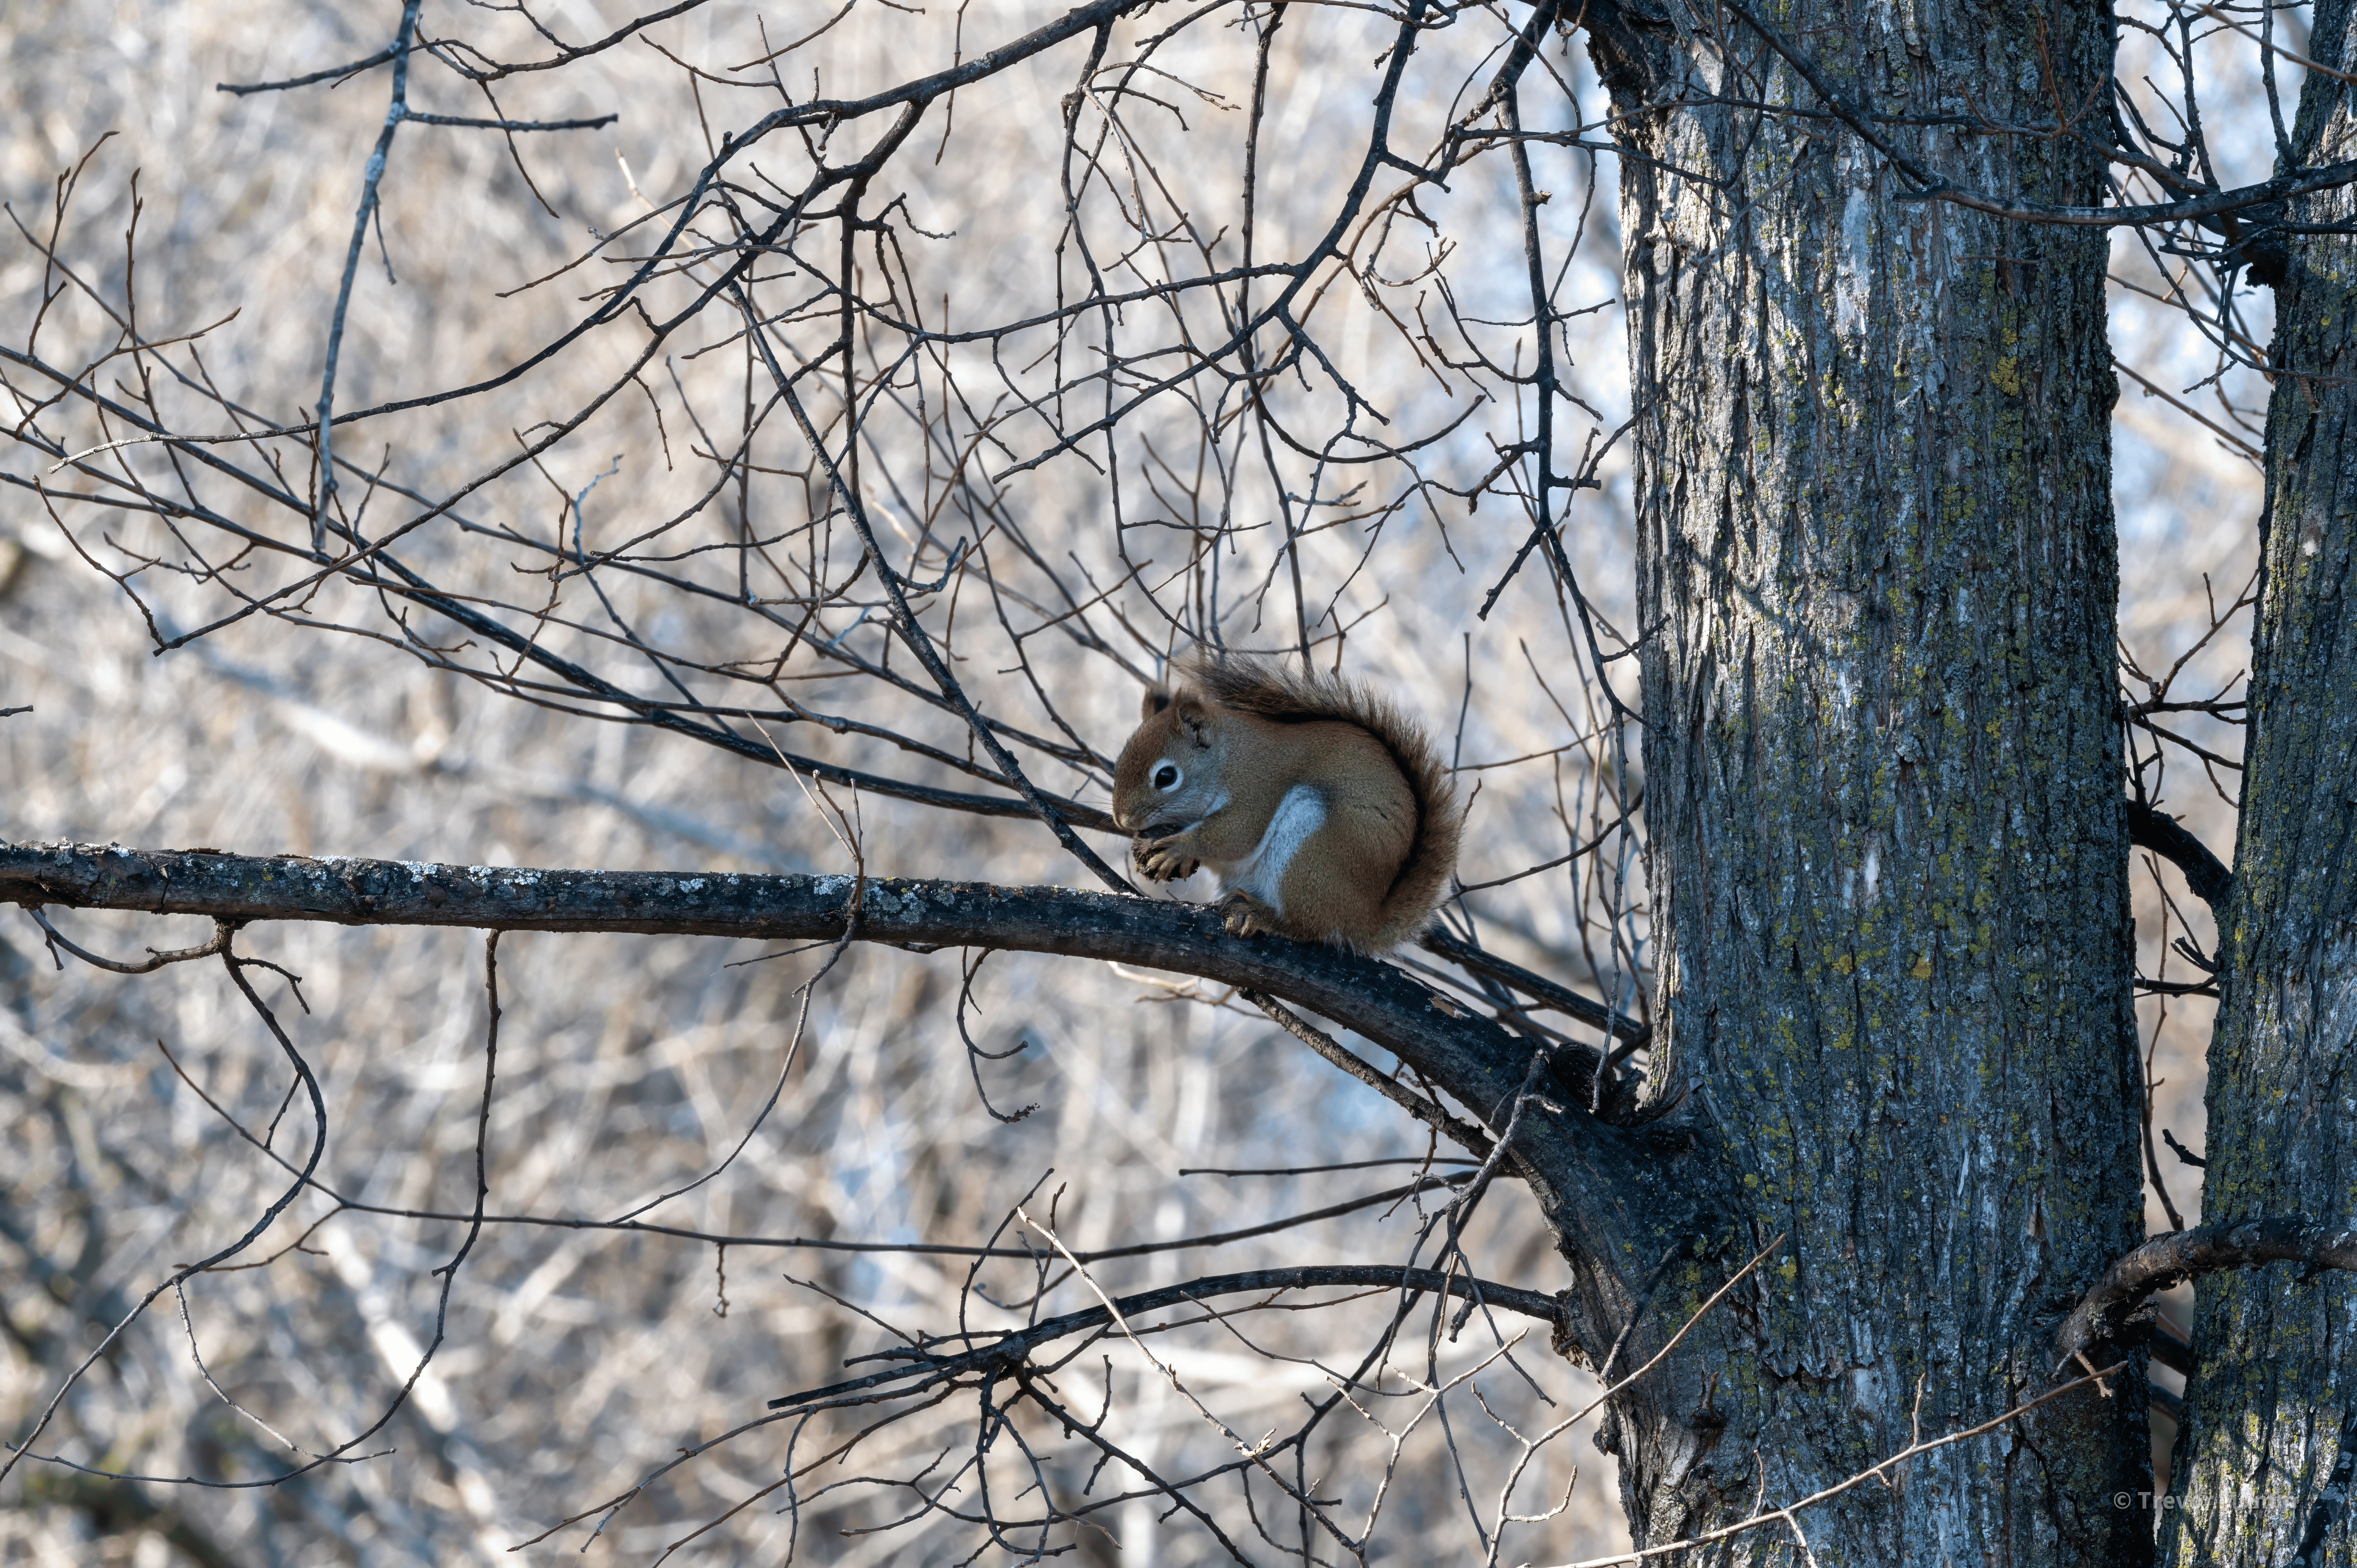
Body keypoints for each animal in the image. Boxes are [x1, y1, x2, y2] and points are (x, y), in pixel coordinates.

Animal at [1110, 650, 1462, 952]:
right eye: (1119, 760)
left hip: (1312, 852)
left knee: (1308, 927)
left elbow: (1236, 835)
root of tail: (1364, 920)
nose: (1123, 821)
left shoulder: (1258, 788)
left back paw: (1262, 916)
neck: (1228, 758)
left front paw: (1178, 848)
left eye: (1166, 777)